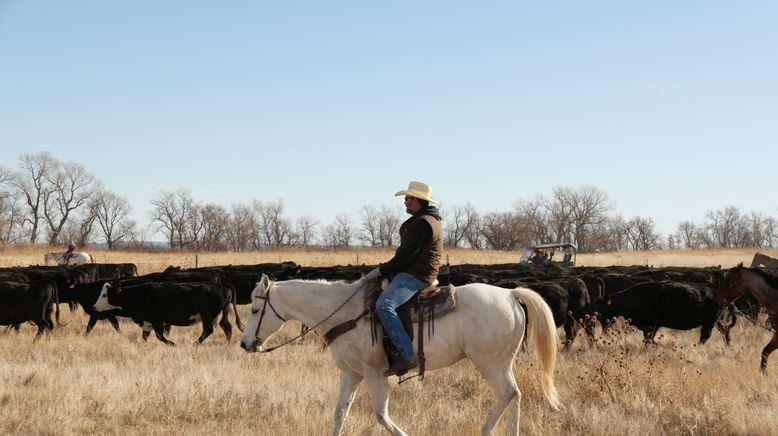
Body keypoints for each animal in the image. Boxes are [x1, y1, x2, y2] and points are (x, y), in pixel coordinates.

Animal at [239, 274, 560, 434]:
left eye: (254, 310)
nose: (245, 344)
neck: (345, 313)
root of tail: (510, 294)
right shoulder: (350, 374)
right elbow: (340, 413)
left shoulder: (374, 374)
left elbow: (381, 415)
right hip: (503, 363)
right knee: (515, 396)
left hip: (489, 363)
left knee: (507, 394)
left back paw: (484, 430)